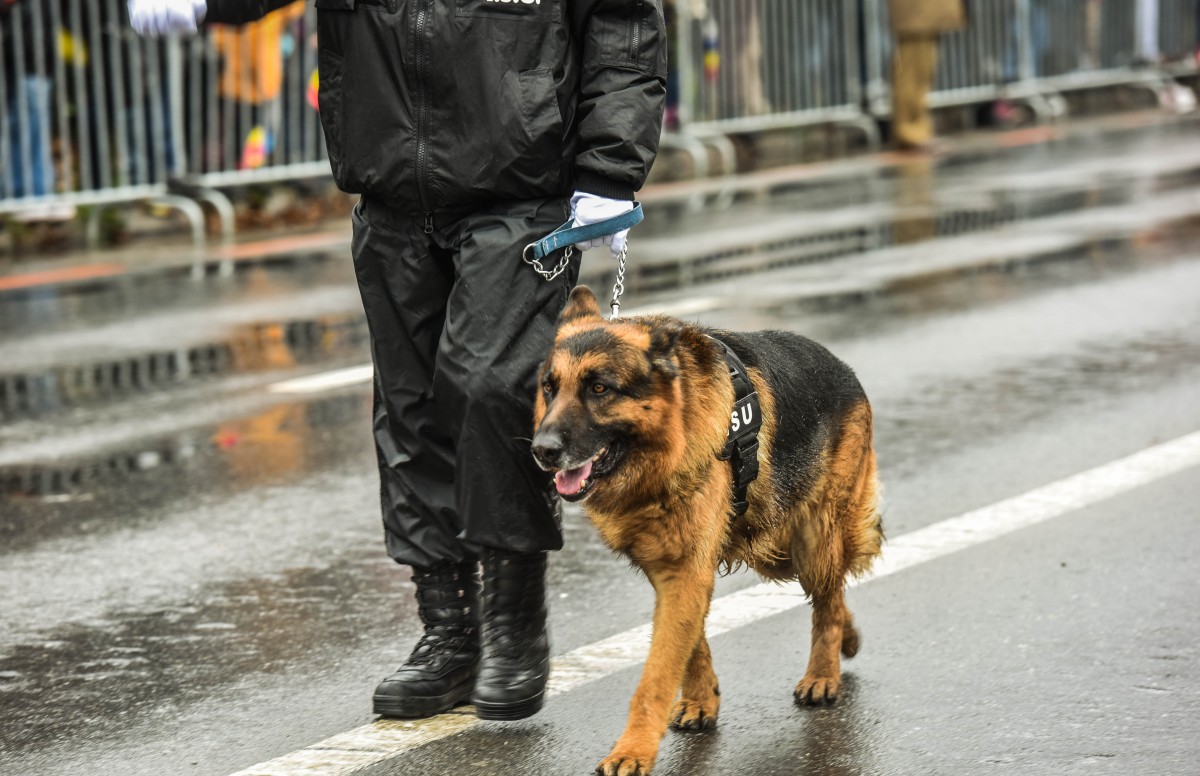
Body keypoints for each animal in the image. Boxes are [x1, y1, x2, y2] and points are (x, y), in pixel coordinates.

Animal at [532, 287, 883, 772]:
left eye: (599, 388)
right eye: (549, 388)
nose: (541, 451)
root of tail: (842, 367)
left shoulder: (686, 572)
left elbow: (657, 674)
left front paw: (632, 751)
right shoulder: (671, 571)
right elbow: (690, 645)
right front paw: (701, 701)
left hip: (811, 539)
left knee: (826, 603)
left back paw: (823, 674)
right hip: (778, 545)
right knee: (832, 591)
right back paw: (847, 639)